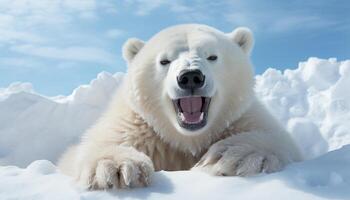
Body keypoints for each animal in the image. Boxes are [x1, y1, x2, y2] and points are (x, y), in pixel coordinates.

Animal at [57, 24, 300, 190]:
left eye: (212, 56)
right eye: (164, 61)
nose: (190, 77)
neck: (187, 139)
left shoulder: (241, 119)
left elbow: (282, 141)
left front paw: (232, 156)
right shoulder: (138, 127)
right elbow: (92, 148)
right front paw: (118, 168)